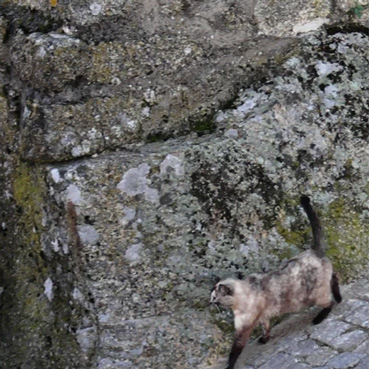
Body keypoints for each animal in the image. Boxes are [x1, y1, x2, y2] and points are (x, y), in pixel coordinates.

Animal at [210, 196, 342, 368]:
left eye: (214, 298)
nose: (210, 303)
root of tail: (312, 250)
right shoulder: (263, 317)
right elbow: (266, 328)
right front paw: (265, 340)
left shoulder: (243, 328)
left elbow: (235, 351)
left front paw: (229, 365)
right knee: (335, 279)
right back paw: (340, 298)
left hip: (315, 297)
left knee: (329, 302)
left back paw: (319, 318)